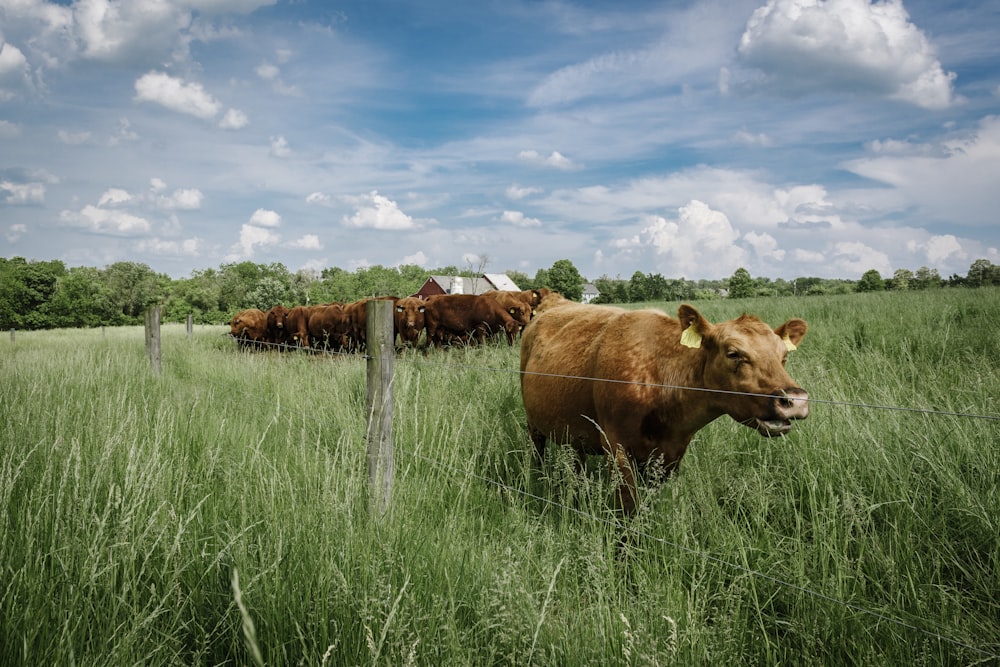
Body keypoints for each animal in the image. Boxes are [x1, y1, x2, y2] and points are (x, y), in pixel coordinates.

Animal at [520, 306, 808, 516]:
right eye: (733, 353)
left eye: (784, 356)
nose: (795, 399)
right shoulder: (616, 446)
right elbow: (628, 506)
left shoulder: (671, 452)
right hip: (533, 424)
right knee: (537, 448)